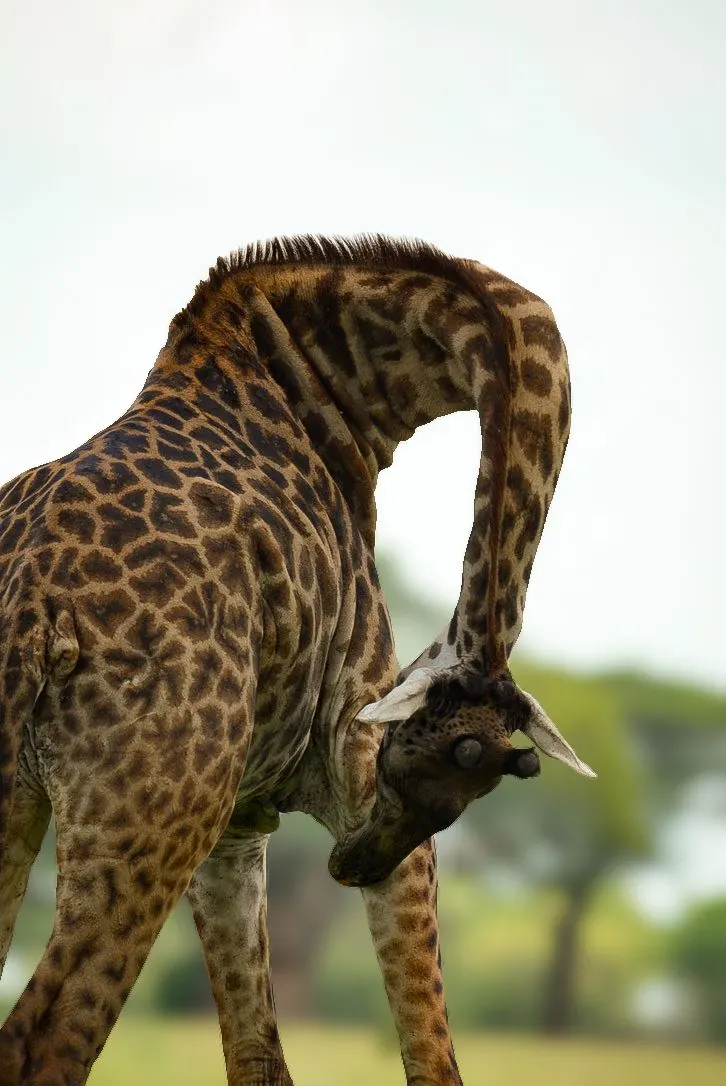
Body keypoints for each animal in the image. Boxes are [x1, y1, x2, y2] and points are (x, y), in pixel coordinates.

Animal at [0, 235, 594, 1085]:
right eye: (398, 767)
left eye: (463, 803)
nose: (351, 866)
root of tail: (34, 607)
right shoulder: (343, 750)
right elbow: (432, 1051)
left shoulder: (240, 824)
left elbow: (258, 1055)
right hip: (158, 808)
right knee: (46, 1038)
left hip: (39, 796)